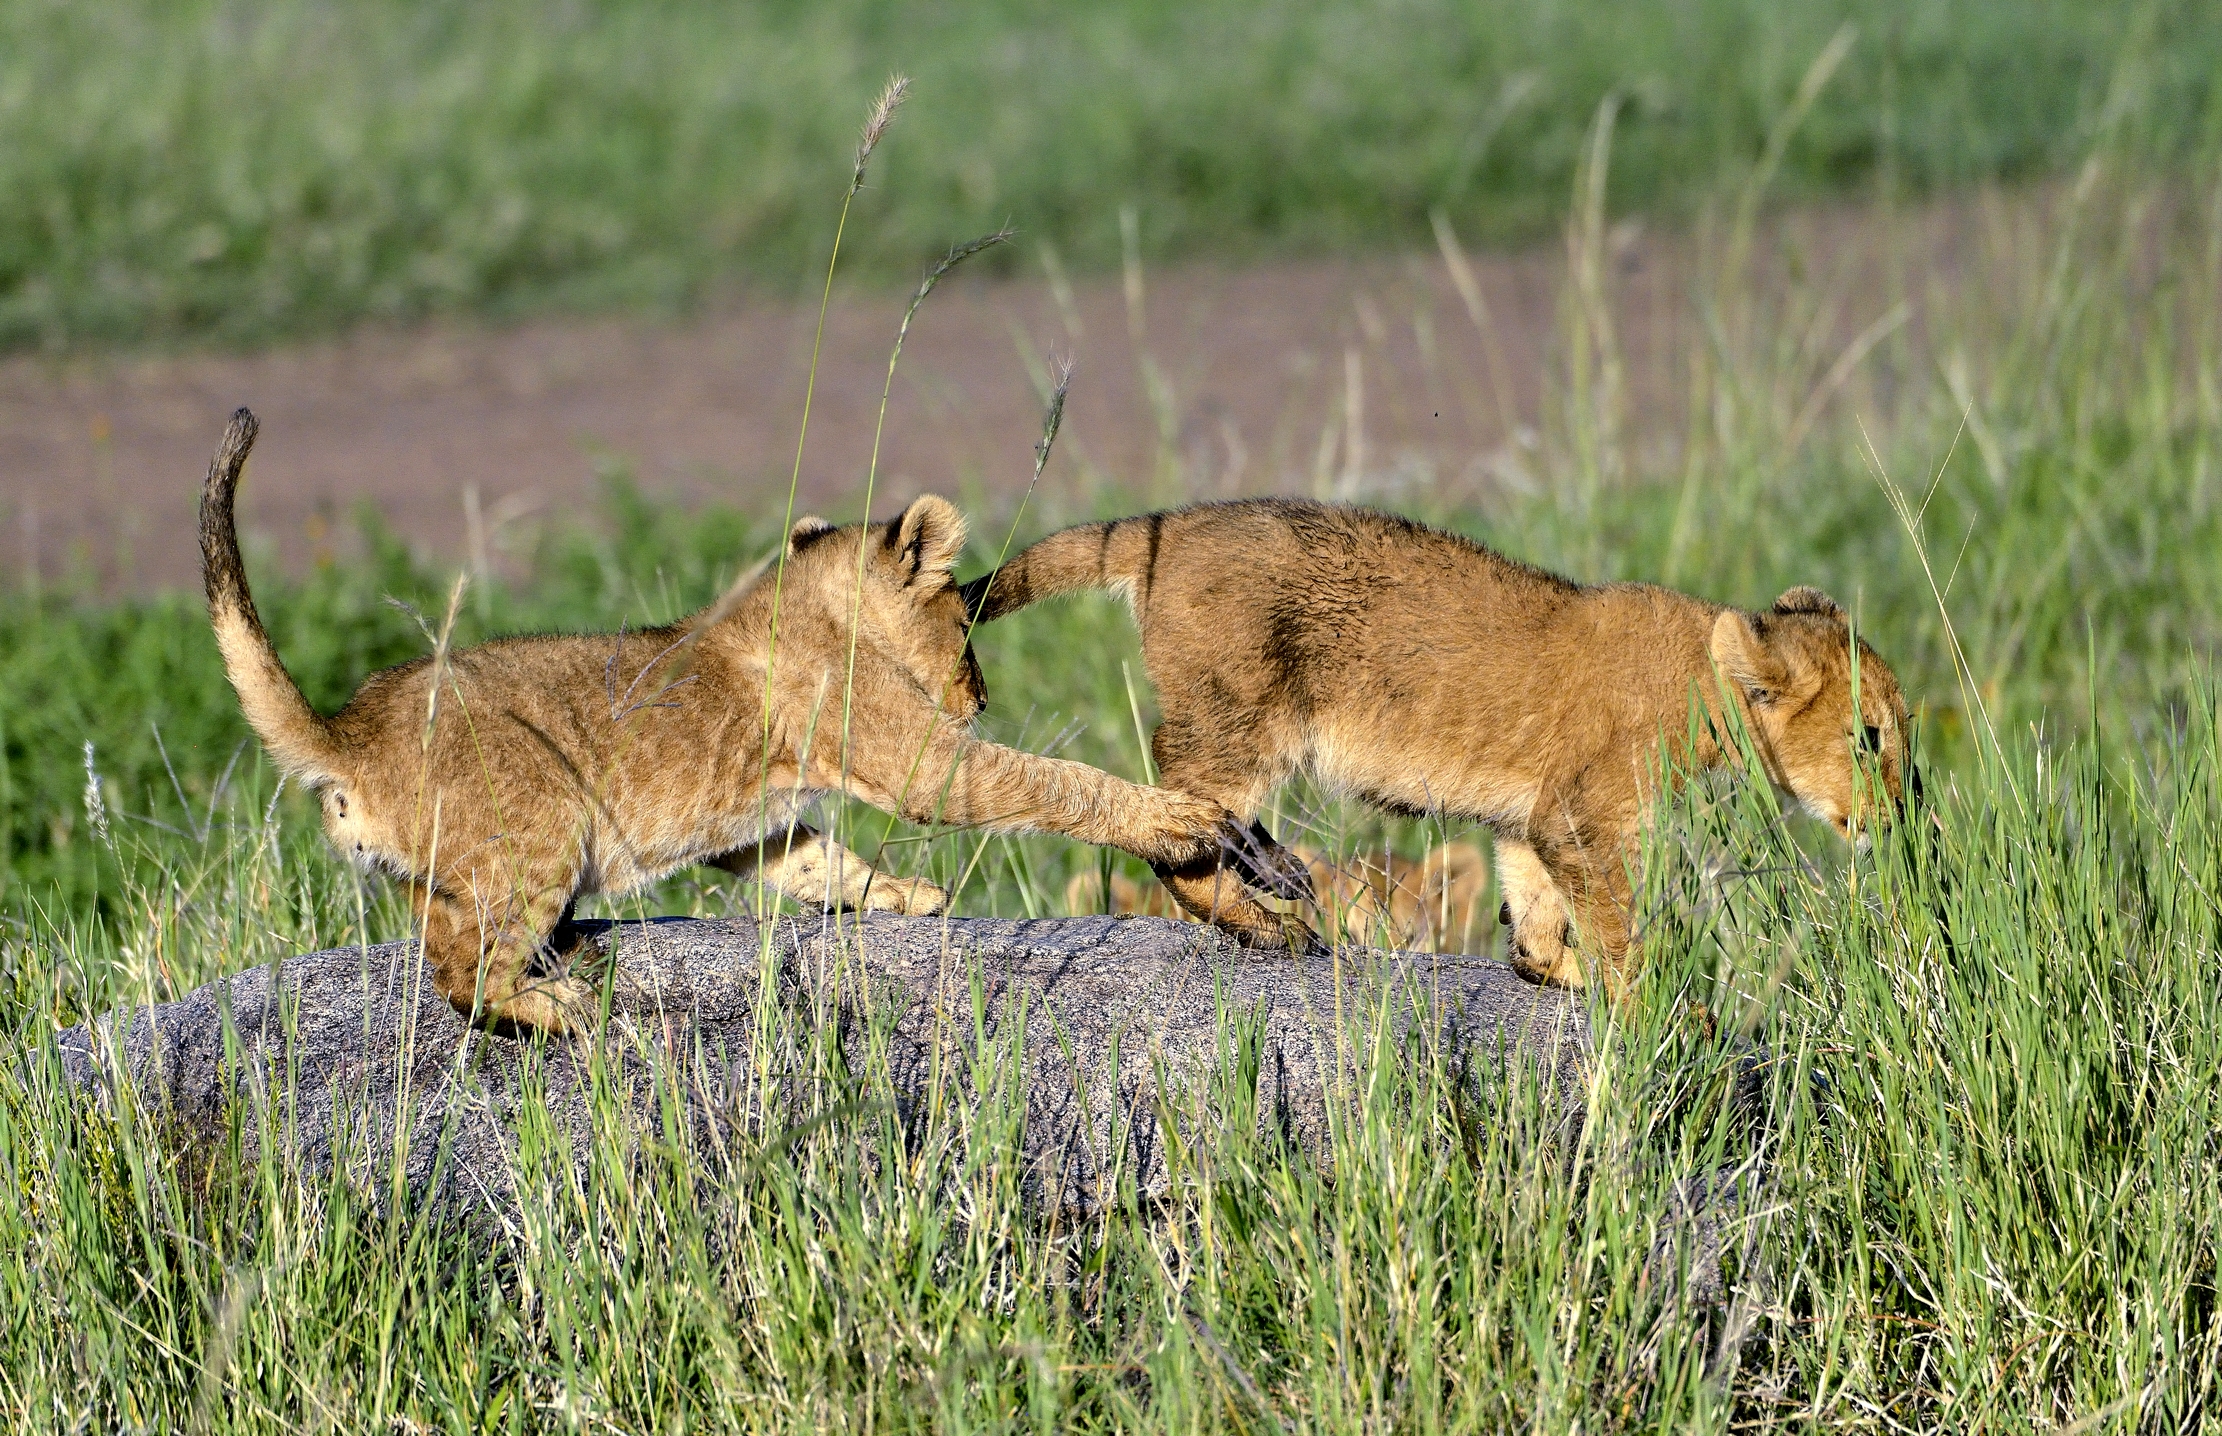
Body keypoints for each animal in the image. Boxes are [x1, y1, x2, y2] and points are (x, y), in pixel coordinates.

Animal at [201, 410, 1295, 1034]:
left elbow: (817, 862)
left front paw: (902, 898)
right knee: (457, 972)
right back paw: (556, 1008)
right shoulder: (922, 762)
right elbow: (1052, 782)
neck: (816, 603)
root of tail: (350, 731)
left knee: (446, 935)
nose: (981, 697)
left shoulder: (761, 823)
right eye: (964, 626)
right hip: (534, 830)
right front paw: (1178, 821)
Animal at [962, 498, 1912, 989]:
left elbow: (1535, 904)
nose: (1903, 818)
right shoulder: (1585, 815)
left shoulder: (1537, 817)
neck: (1705, 678)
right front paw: (1648, 1004)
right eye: (1869, 739)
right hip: (1243, 718)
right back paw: (1270, 918)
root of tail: (1166, 524)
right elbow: (1618, 925)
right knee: (1180, 818)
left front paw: (1547, 969)